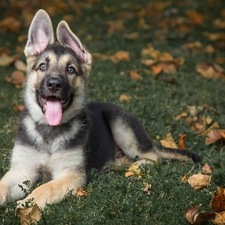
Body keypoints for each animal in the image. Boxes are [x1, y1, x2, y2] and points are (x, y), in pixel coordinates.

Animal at [0, 9, 200, 209]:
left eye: (70, 69)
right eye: (43, 66)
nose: (54, 84)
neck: (49, 132)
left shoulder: (72, 174)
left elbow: (46, 188)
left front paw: (27, 204)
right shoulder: (21, 171)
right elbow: (3, 185)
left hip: (121, 124)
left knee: (154, 156)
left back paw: (135, 167)